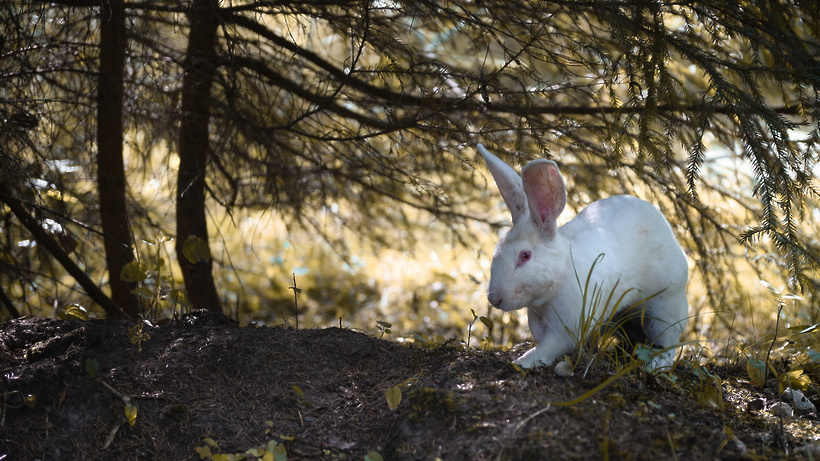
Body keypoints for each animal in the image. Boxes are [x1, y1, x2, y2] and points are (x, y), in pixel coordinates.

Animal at [478, 144, 688, 370]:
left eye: (525, 256)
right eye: (497, 248)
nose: (494, 299)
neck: (561, 273)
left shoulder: (568, 324)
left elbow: (551, 346)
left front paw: (523, 361)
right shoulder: (537, 314)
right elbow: (540, 335)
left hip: (663, 307)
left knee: (667, 343)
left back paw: (656, 364)